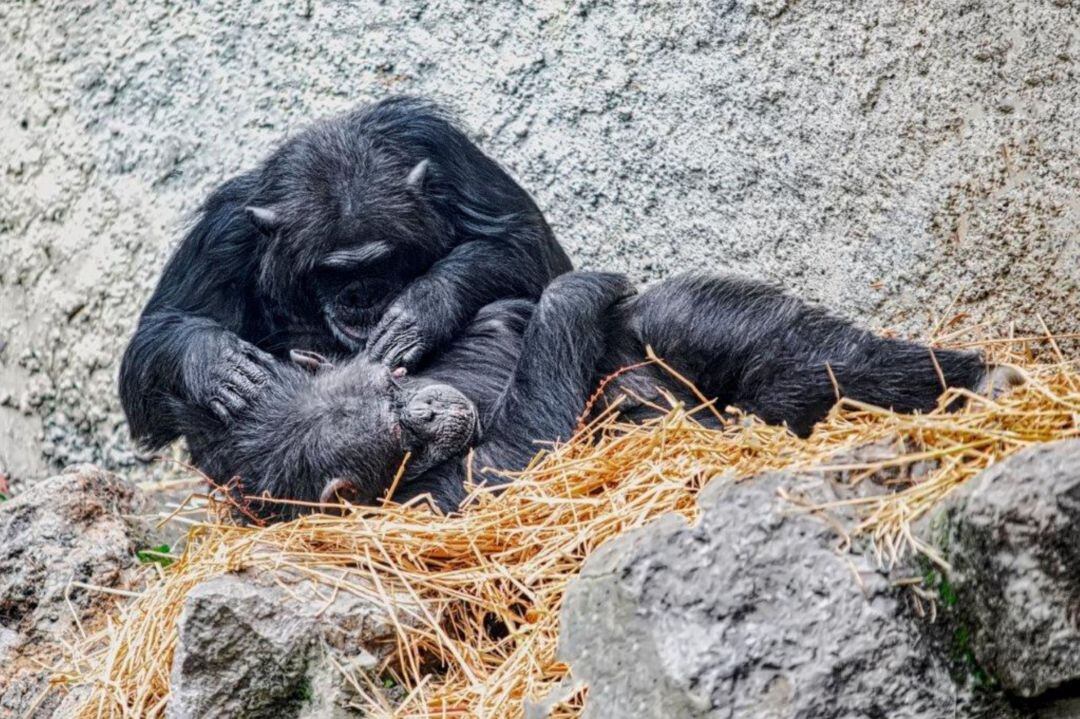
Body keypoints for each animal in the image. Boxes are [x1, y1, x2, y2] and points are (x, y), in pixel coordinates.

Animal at [119, 98, 574, 451]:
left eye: (381, 262)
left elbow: (524, 244)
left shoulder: (446, 152)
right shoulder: (222, 235)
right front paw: (215, 361)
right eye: (330, 271)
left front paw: (421, 310)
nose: (361, 295)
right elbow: (154, 337)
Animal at [187, 269, 1010, 516]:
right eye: (401, 441)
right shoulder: (444, 499)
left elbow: (496, 315)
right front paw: (573, 291)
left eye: (393, 387)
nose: (424, 409)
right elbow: (527, 449)